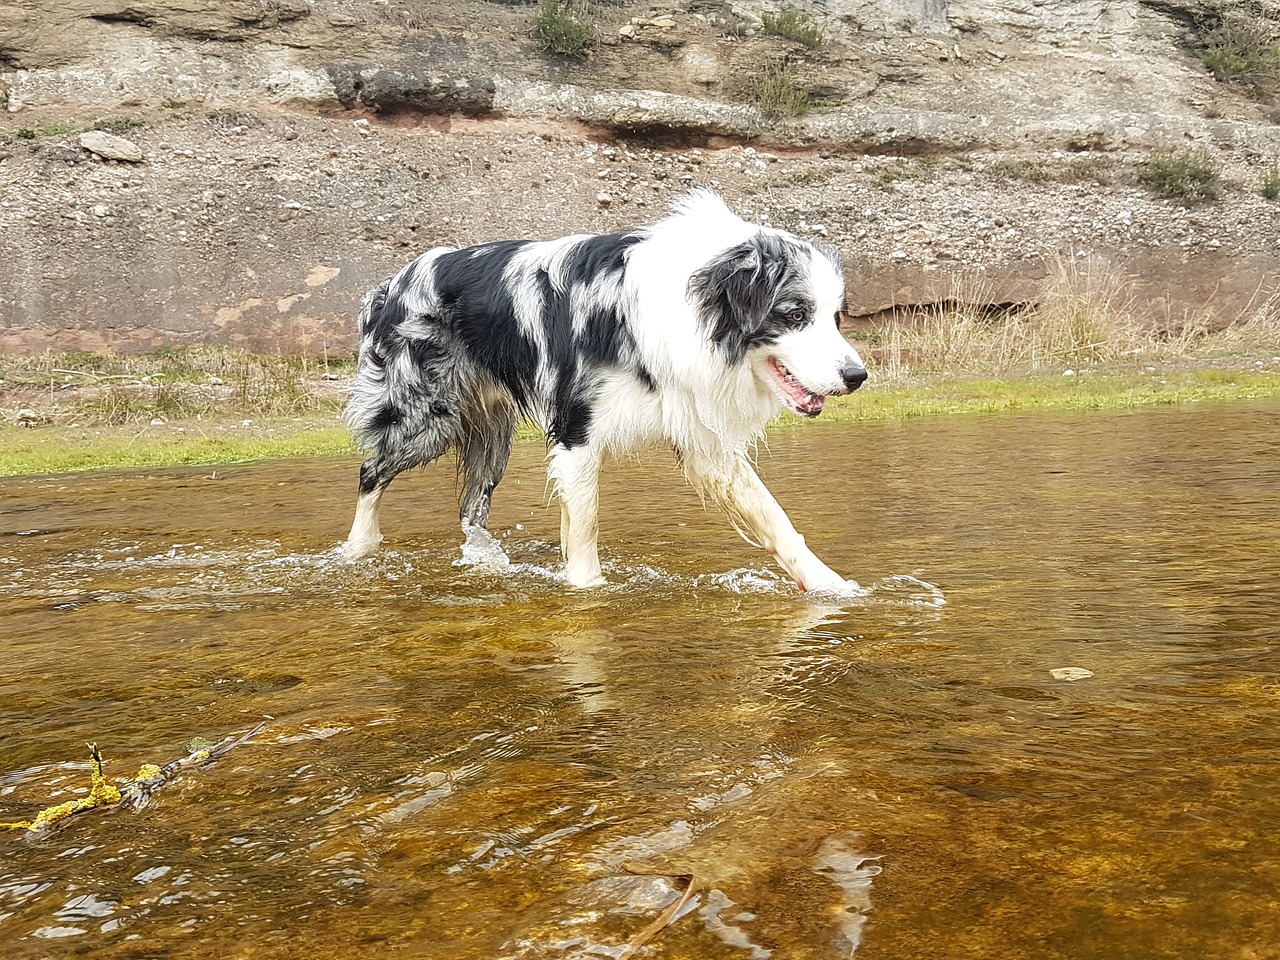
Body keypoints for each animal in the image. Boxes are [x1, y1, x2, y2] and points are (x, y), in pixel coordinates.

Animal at [340, 190, 870, 591]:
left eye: (835, 317)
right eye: (795, 314)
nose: (857, 376)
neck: (688, 307)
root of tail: (387, 287)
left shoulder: (703, 436)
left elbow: (775, 517)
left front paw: (831, 587)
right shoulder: (576, 432)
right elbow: (585, 529)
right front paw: (587, 594)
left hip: (492, 433)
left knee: (472, 505)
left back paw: (485, 561)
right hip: (425, 415)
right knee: (370, 472)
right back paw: (357, 551)